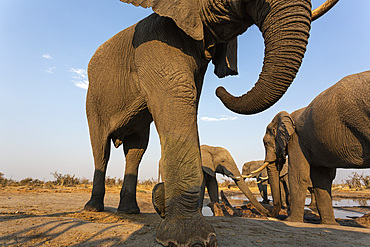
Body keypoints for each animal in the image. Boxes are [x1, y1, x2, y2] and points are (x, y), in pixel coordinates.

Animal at [84, 0, 338, 244]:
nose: (220, 89)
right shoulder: (155, 46)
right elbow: (180, 95)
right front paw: (192, 238)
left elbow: (190, 105)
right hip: (93, 100)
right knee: (101, 149)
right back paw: (93, 208)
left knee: (136, 150)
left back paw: (130, 211)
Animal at [262, 70, 368, 225]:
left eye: (265, 143)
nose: (270, 214)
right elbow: (321, 178)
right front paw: (330, 225)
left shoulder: (296, 140)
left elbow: (298, 176)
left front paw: (291, 220)